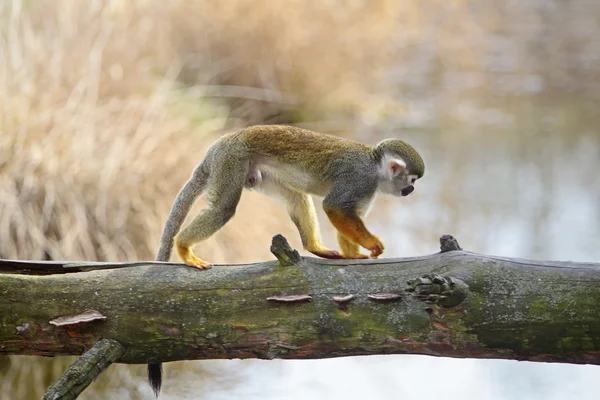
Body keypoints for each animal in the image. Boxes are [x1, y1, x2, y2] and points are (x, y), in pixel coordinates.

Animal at [148, 126, 424, 396]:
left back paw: (315, 247)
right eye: (411, 180)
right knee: (223, 209)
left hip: (255, 171)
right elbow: (334, 207)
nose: (411, 190)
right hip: (232, 159)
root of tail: (222, 141)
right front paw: (373, 245)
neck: (375, 165)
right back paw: (184, 247)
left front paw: (353, 255)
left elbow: (347, 214)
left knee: (296, 196)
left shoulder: (367, 190)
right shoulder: (360, 179)